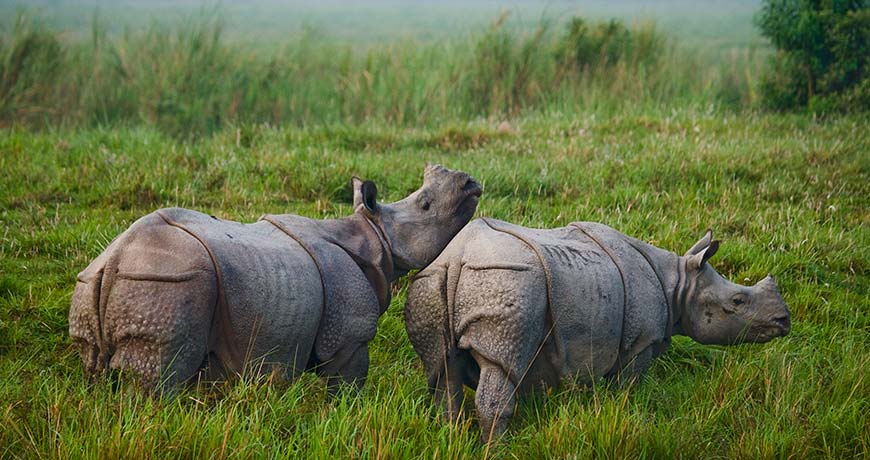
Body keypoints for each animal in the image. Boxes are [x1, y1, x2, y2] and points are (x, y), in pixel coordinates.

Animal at [70, 164, 484, 390]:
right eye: (426, 205)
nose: (470, 182)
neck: (374, 234)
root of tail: (115, 258)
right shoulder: (348, 337)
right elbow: (347, 387)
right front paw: (340, 419)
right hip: (168, 282)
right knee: (159, 379)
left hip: (98, 285)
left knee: (96, 373)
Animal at [406, 219, 792, 438]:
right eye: (738, 301)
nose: (784, 321)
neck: (679, 284)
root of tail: (458, 256)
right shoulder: (641, 341)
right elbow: (629, 386)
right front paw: (629, 412)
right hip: (509, 280)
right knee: (502, 365)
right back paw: (499, 448)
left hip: (432, 281)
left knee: (442, 370)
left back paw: (452, 437)